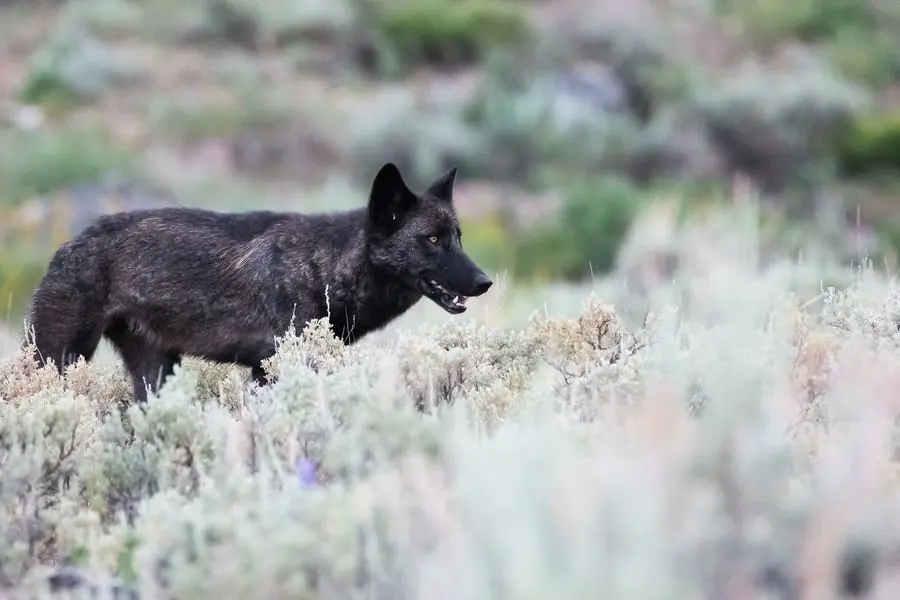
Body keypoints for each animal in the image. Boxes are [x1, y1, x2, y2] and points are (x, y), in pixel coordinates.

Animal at [26, 162, 493, 403]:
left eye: (458, 238)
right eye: (432, 240)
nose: (485, 281)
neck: (323, 268)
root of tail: (69, 244)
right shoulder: (273, 368)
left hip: (156, 373)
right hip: (58, 359)